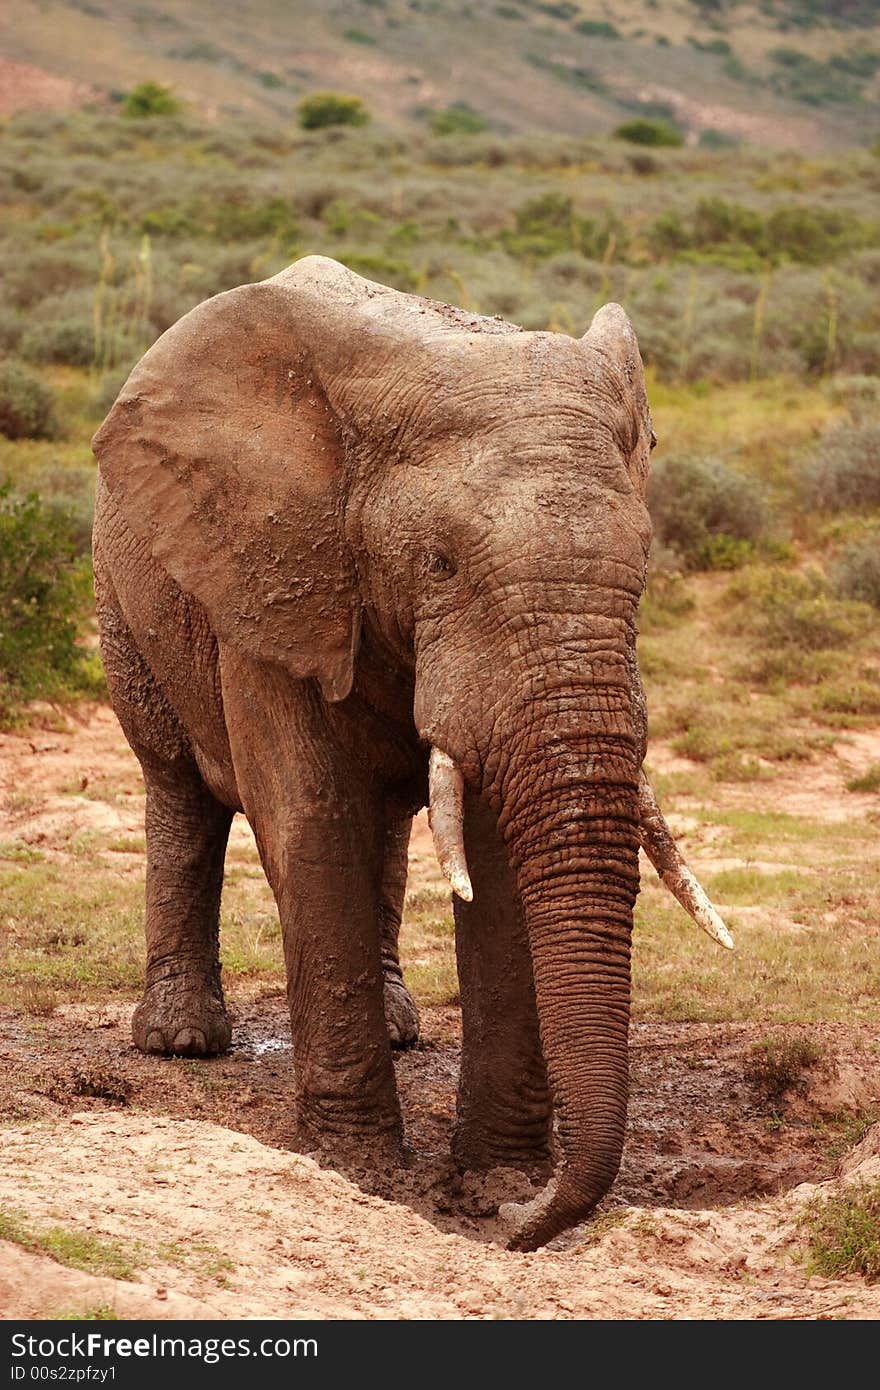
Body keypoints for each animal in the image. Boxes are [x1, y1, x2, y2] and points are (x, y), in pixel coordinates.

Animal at [92, 255, 728, 1256]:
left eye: (645, 568)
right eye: (440, 564)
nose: (518, 1228)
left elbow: (497, 862)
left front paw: (497, 1183)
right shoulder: (273, 576)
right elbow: (310, 821)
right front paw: (360, 1172)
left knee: (388, 826)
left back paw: (399, 1030)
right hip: (128, 598)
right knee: (178, 791)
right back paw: (180, 1040)